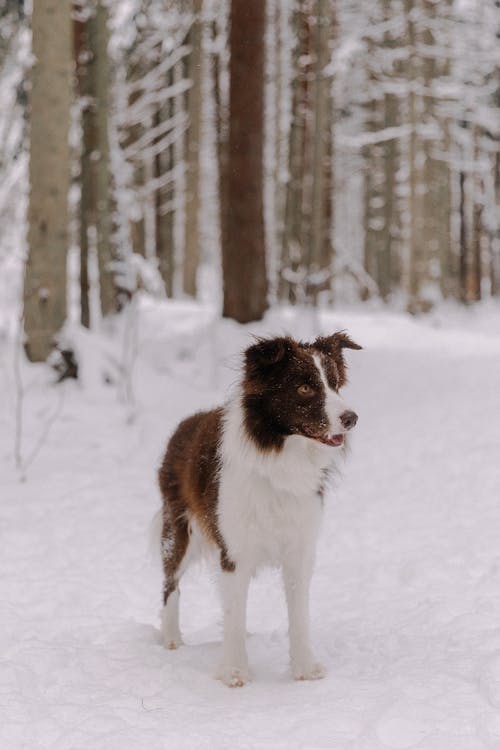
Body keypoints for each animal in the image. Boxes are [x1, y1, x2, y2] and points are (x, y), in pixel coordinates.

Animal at [156, 334, 360, 688]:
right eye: (304, 388)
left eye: (335, 385)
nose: (351, 418)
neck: (281, 455)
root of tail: (183, 425)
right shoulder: (234, 550)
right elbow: (234, 612)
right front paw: (235, 672)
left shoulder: (299, 547)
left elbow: (299, 614)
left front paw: (304, 668)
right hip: (180, 528)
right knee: (170, 583)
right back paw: (171, 639)